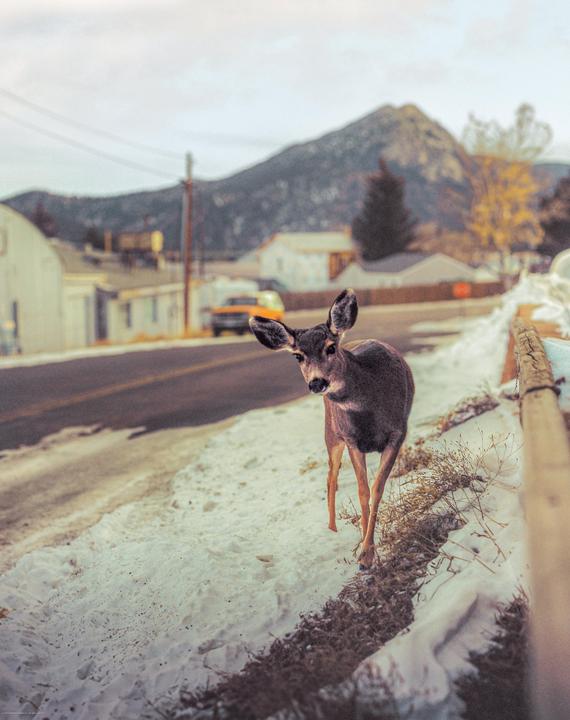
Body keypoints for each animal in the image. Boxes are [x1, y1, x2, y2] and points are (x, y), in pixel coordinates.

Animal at [249, 288, 414, 569]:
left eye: (330, 347)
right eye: (298, 355)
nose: (317, 383)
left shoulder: (397, 432)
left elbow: (376, 488)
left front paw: (367, 551)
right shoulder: (350, 438)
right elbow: (362, 491)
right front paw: (365, 552)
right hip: (331, 432)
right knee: (331, 476)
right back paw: (332, 530)